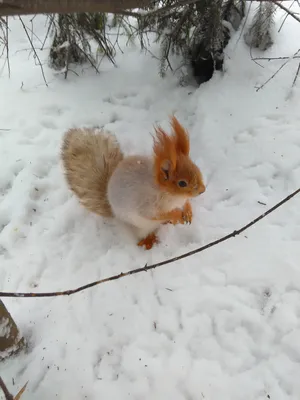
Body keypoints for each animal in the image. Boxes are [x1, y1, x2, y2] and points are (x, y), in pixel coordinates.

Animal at [61, 114, 206, 248]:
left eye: (197, 168)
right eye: (182, 183)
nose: (202, 190)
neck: (173, 195)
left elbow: (186, 202)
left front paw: (187, 212)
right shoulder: (147, 204)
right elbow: (155, 215)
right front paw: (176, 214)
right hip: (140, 227)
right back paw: (149, 240)